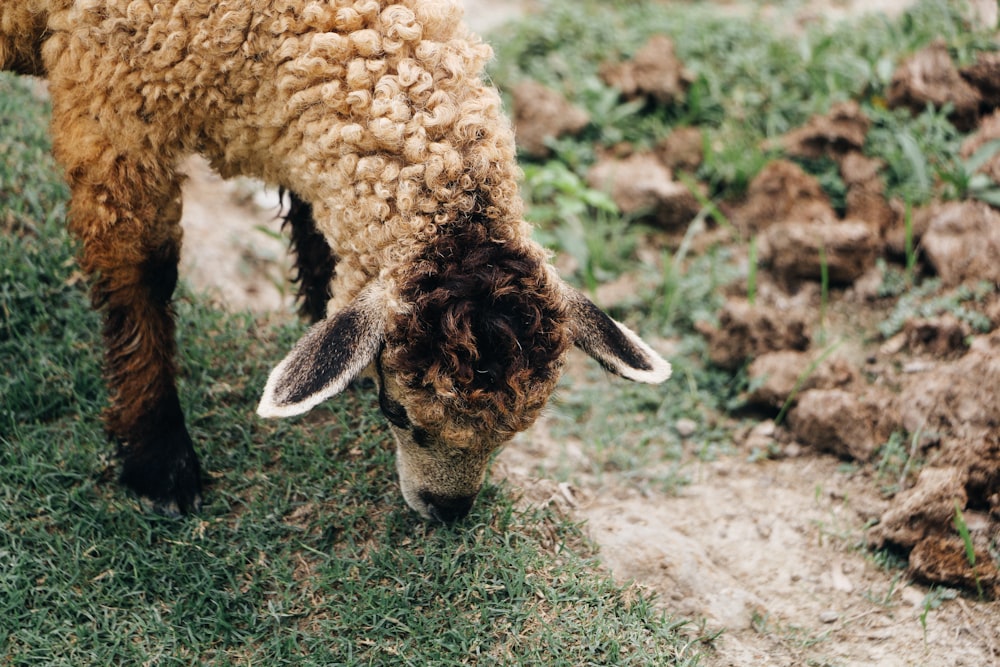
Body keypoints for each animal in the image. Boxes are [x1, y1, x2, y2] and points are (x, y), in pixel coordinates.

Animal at [5, 0, 672, 520]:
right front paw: (160, 460)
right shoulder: (113, 107)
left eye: (517, 432)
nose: (447, 512)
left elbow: (314, 234)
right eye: (395, 411)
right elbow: (142, 274)